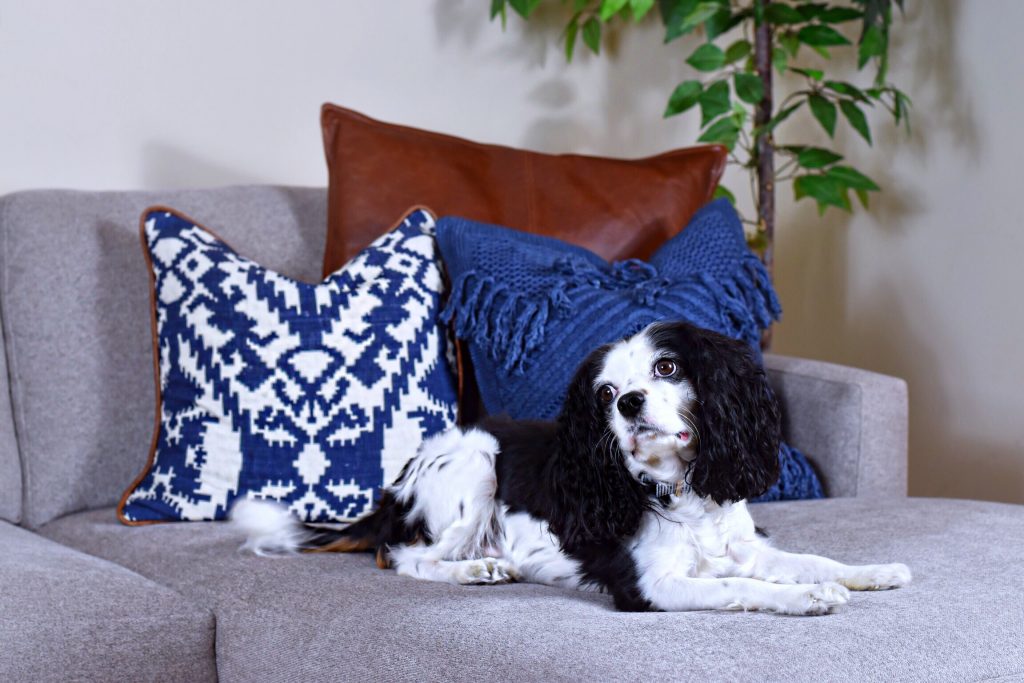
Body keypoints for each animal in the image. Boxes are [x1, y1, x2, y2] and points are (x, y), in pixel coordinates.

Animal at [234, 321, 913, 614]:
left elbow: (808, 559)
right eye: (606, 394)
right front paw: (807, 598)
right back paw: (477, 568)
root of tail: (391, 493)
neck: (682, 491)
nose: (630, 403)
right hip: (476, 461)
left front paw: (870, 572)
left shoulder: (744, 545)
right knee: (402, 558)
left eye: (668, 368)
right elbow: (740, 588)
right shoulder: (651, 587)